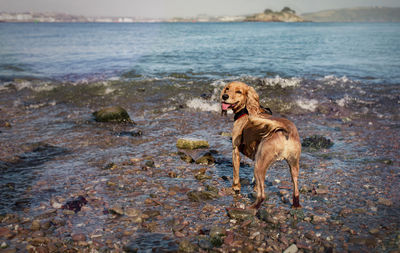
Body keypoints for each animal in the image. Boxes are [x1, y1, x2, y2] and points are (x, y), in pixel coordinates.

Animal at [220, 81, 302, 210]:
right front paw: (254, 188)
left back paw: (252, 207)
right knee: (296, 191)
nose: (224, 96)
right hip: (293, 166)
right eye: (227, 88)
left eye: (239, 91)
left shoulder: (235, 151)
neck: (247, 110)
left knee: (262, 196)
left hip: (259, 165)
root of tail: (285, 130)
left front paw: (235, 188)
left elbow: (236, 174)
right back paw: (295, 205)